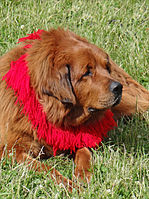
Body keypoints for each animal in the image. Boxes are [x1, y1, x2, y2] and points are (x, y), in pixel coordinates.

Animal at [0, 28, 149, 191]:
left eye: (106, 68)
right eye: (87, 72)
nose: (118, 87)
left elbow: (84, 152)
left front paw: (83, 174)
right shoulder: (12, 150)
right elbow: (46, 169)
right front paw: (70, 186)